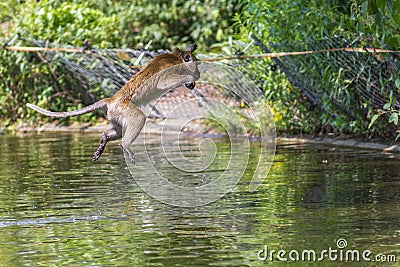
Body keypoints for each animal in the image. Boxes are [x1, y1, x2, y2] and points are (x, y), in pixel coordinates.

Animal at [27, 43, 200, 163]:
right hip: (123, 109)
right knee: (139, 118)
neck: (177, 58)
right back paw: (126, 145)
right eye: (196, 65)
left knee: (118, 129)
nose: (198, 74)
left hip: (116, 115)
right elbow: (164, 82)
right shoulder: (170, 70)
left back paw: (103, 142)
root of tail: (111, 100)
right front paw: (189, 79)